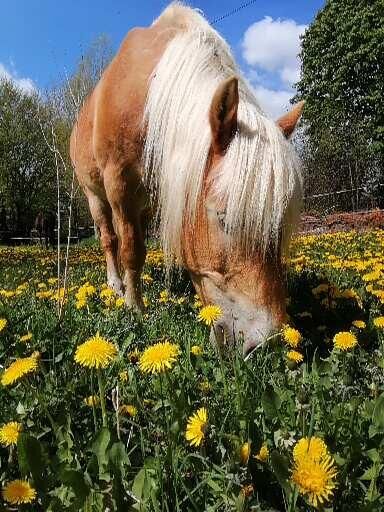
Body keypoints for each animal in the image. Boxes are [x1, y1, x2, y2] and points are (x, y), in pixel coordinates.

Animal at [69, 3, 304, 356]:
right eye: (224, 219)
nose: (267, 341)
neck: (148, 94)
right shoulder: (118, 183)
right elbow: (131, 249)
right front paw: (135, 308)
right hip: (94, 193)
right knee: (109, 238)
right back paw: (116, 285)